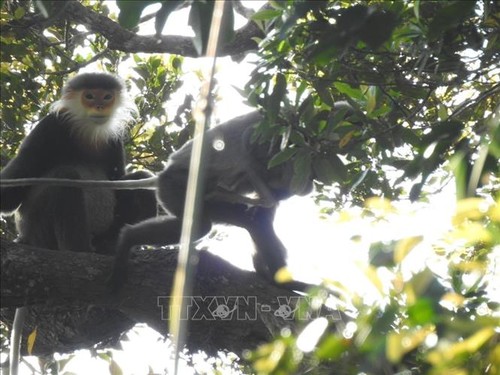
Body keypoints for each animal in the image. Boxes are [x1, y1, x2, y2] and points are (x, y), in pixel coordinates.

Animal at [0, 72, 156, 374]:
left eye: (106, 96)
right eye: (89, 96)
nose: (99, 106)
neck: (87, 131)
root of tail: (26, 238)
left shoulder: (113, 141)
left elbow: (122, 180)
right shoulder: (49, 128)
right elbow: (10, 196)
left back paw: (111, 247)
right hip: (39, 229)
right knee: (67, 177)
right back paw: (80, 252)